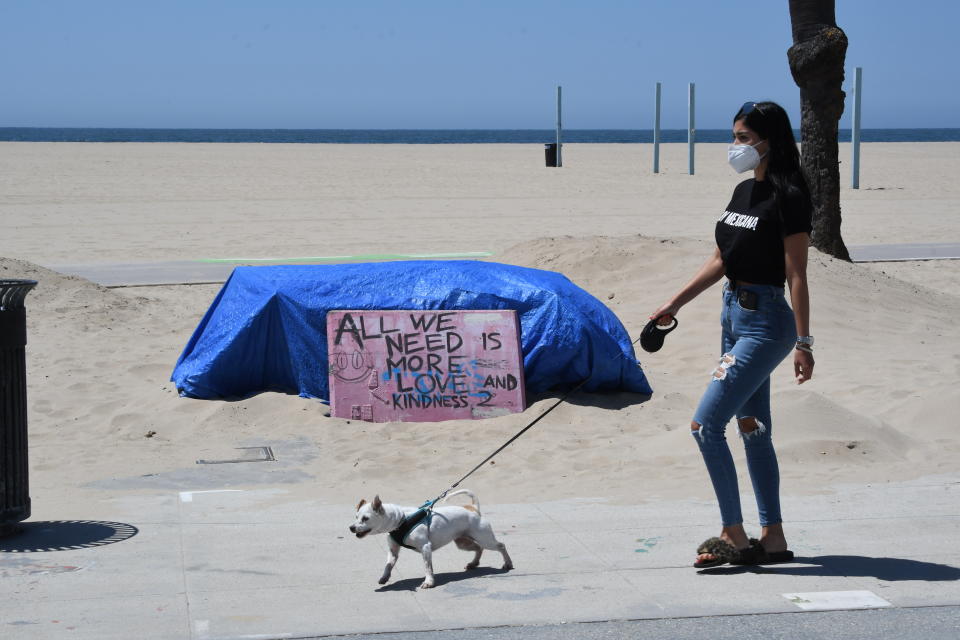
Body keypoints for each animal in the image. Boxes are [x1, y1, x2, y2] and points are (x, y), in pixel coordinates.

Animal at [344, 490, 510, 592]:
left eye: (365, 518)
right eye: (356, 517)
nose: (351, 527)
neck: (401, 520)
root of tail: (473, 508)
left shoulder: (425, 548)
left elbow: (427, 567)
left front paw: (429, 582)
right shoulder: (393, 551)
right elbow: (388, 565)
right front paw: (384, 577)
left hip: (485, 538)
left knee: (500, 546)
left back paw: (507, 564)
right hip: (462, 542)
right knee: (478, 548)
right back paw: (473, 563)